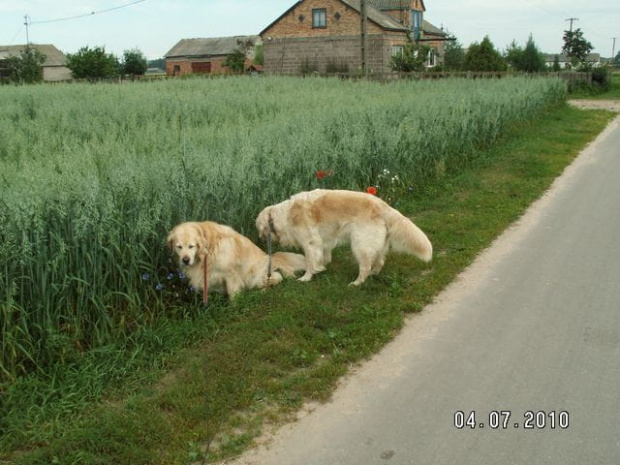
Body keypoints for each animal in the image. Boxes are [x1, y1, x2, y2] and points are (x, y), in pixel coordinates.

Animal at [168, 220, 306, 298]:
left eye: (191, 246)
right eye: (179, 247)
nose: (185, 260)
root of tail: (271, 257)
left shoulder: (230, 274)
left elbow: (232, 294)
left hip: (253, 276)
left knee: (277, 277)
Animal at [254, 189, 434, 284]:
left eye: (261, 231)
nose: (261, 240)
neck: (284, 215)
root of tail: (383, 206)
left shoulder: (310, 242)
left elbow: (310, 262)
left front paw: (306, 277)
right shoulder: (322, 242)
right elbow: (323, 257)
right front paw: (323, 266)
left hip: (360, 245)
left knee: (365, 266)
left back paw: (357, 282)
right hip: (375, 245)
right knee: (379, 262)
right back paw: (373, 275)